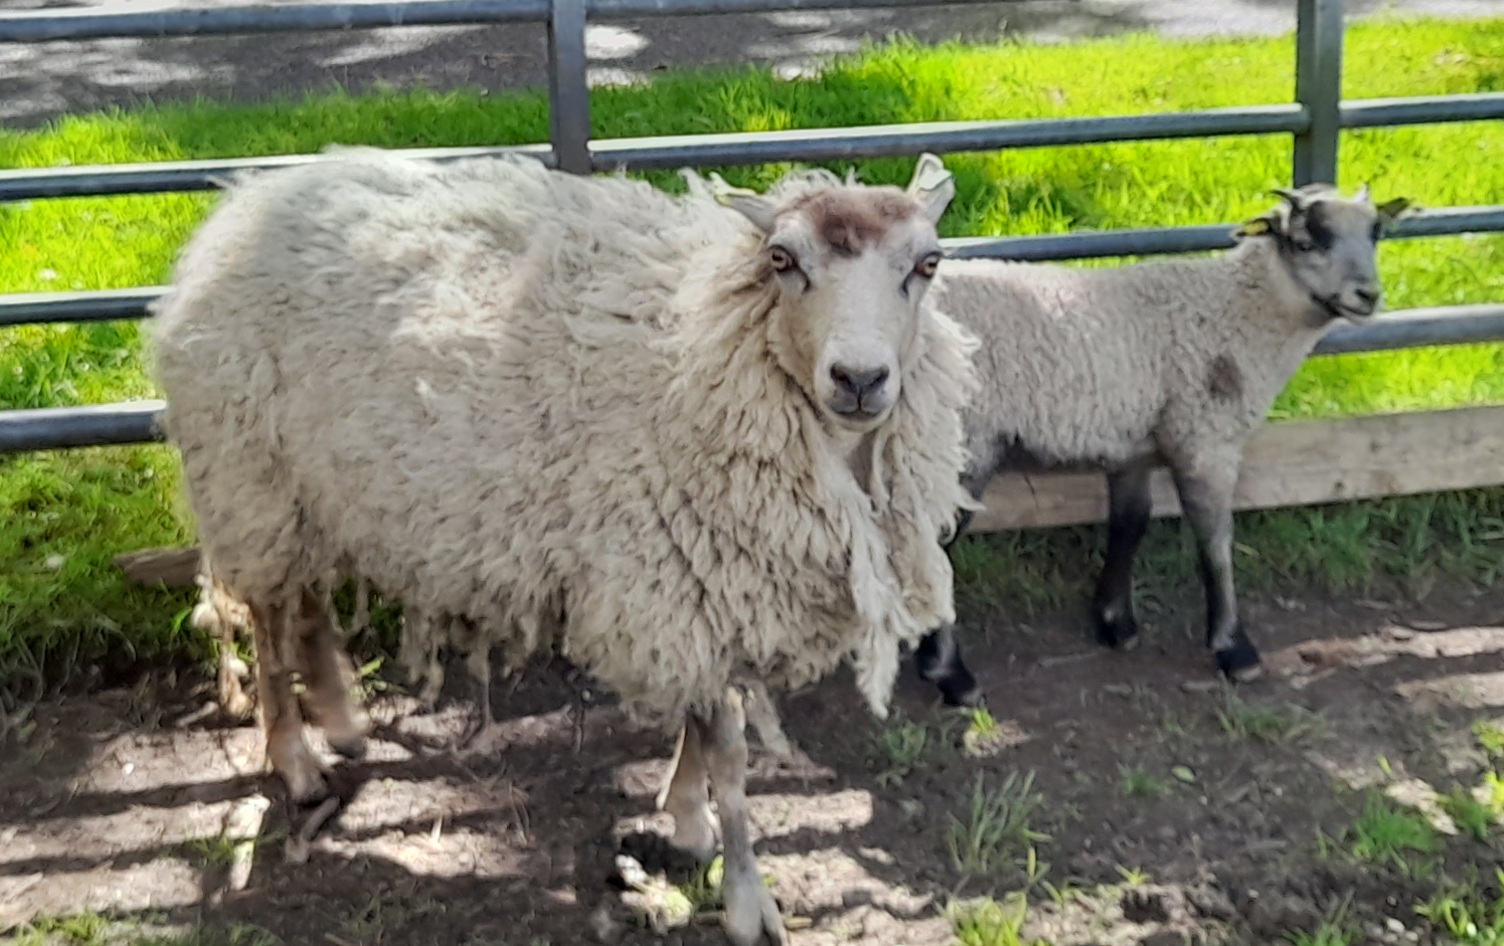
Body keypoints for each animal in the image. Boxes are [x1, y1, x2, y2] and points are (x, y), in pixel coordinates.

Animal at [149, 146, 979, 946]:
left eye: (928, 263)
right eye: (782, 259)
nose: (860, 378)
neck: (708, 339)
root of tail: (245, 200)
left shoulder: (704, 584)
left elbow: (701, 725)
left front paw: (684, 816)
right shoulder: (679, 582)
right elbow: (729, 753)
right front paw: (746, 900)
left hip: (316, 493)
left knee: (309, 606)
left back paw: (342, 724)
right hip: (250, 476)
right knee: (269, 620)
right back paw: (295, 762)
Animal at [910, 184, 1410, 706]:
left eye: (1376, 233)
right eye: (1305, 241)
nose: (1368, 295)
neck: (1237, 313)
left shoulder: (1131, 448)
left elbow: (1130, 524)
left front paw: (1115, 622)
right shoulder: (1205, 439)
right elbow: (1216, 541)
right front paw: (1234, 648)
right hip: (966, 440)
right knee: (935, 546)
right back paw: (950, 674)